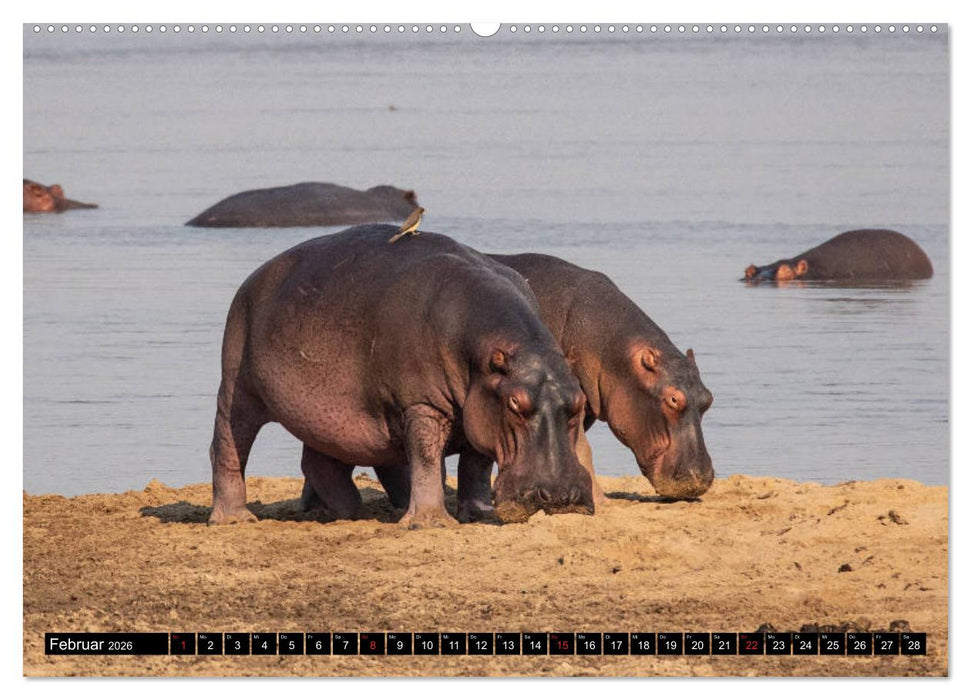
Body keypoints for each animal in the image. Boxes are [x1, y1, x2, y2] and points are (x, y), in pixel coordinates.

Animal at [209, 225, 594, 528]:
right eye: (516, 403)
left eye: (579, 401)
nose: (561, 496)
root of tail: (255, 277)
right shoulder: (422, 404)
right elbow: (426, 457)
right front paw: (430, 522)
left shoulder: (481, 409)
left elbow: (476, 464)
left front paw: (478, 513)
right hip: (238, 387)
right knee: (228, 443)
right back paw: (235, 518)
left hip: (324, 411)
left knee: (319, 458)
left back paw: (347, 511)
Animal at [302, 253, 716, 521]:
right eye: (673, 399)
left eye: (708, 400)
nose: (701, 479)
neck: (608, 345)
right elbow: (583, 452)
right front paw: (603, 504)